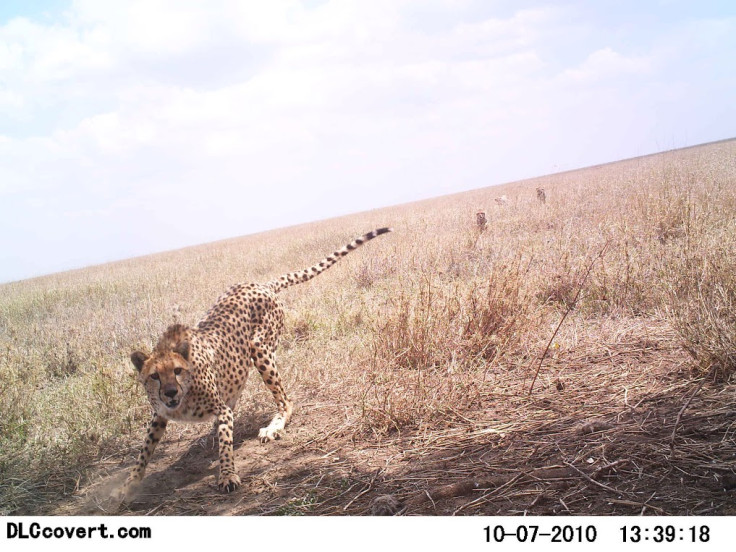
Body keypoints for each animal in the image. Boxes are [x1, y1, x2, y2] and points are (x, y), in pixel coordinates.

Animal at [118, 226, 392, 498]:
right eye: (154, 376)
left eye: (177, 371)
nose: (170, 392)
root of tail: (260, 284)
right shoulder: (160, 415)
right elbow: (144, 450)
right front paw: (129, 484)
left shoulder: (220, 409)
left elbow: (225, 446)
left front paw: (228, 475)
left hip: (260, 349)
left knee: (286, 401)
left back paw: (274, 427)